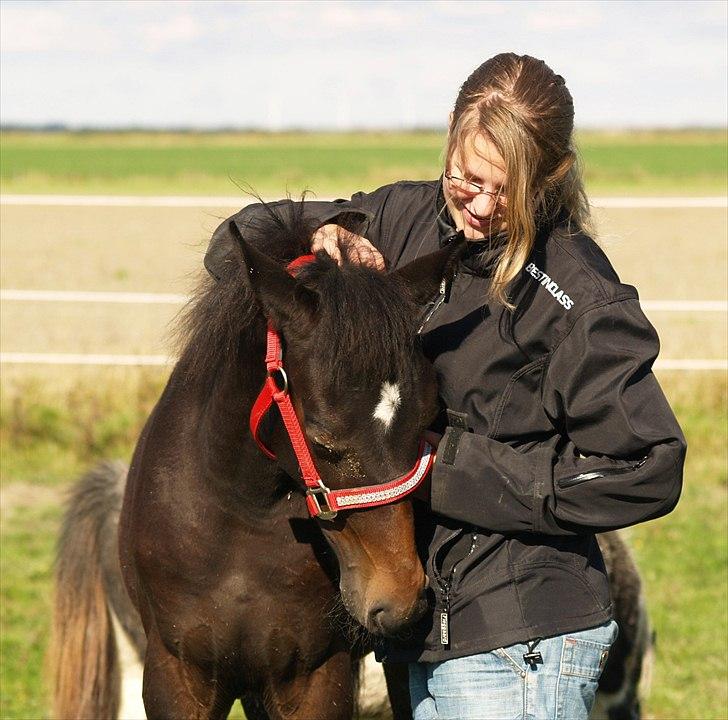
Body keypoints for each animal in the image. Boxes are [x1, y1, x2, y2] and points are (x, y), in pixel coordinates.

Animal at [52, 204, 460, 720]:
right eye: (323, 439)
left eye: (427, 420)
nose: (401, 598)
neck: (238, 519)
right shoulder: (176, 677)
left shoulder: (314, 680)